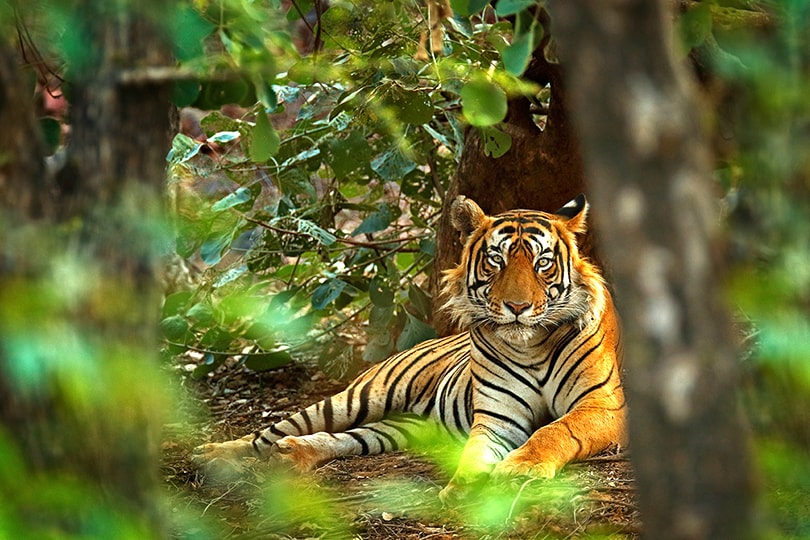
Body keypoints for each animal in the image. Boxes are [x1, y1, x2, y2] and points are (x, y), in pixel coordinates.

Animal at [193, 194, 626, 500]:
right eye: (496, 261)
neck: (531, 345)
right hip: (358, 398)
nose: (516, 307)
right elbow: (475, 452)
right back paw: (214, 454)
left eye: (543, 264)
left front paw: (520, 468)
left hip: (402, 427)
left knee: (347, 438)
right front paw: (464, 488)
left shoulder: (602, 405)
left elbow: (556, 430)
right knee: (270, 432)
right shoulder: (497, 417)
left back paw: (293, 454)